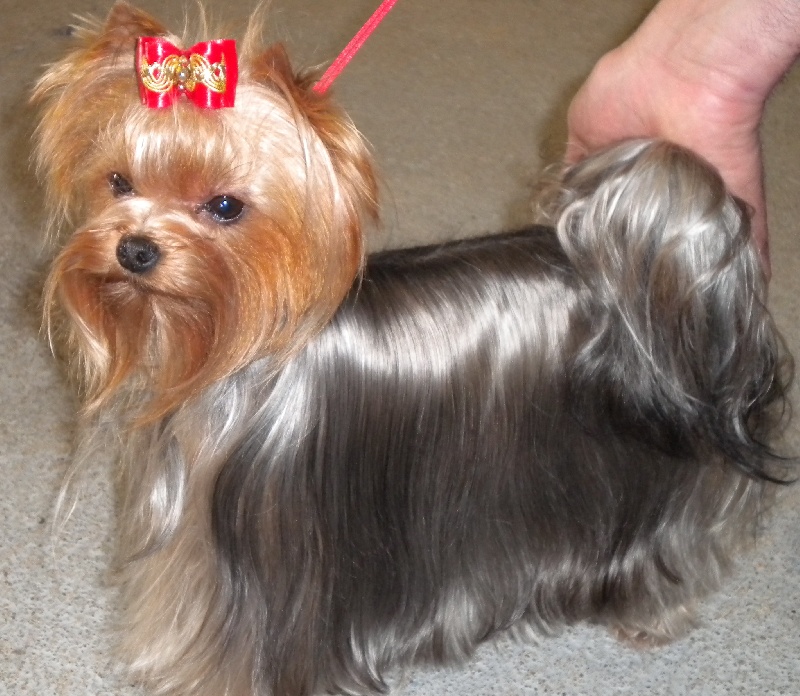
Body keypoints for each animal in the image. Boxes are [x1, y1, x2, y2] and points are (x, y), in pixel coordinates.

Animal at [33, 3, 790, 695]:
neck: (230, 360)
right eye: (119, 183)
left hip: (650, 468)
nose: (134, 250)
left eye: (224, 208)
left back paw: (649, 614)